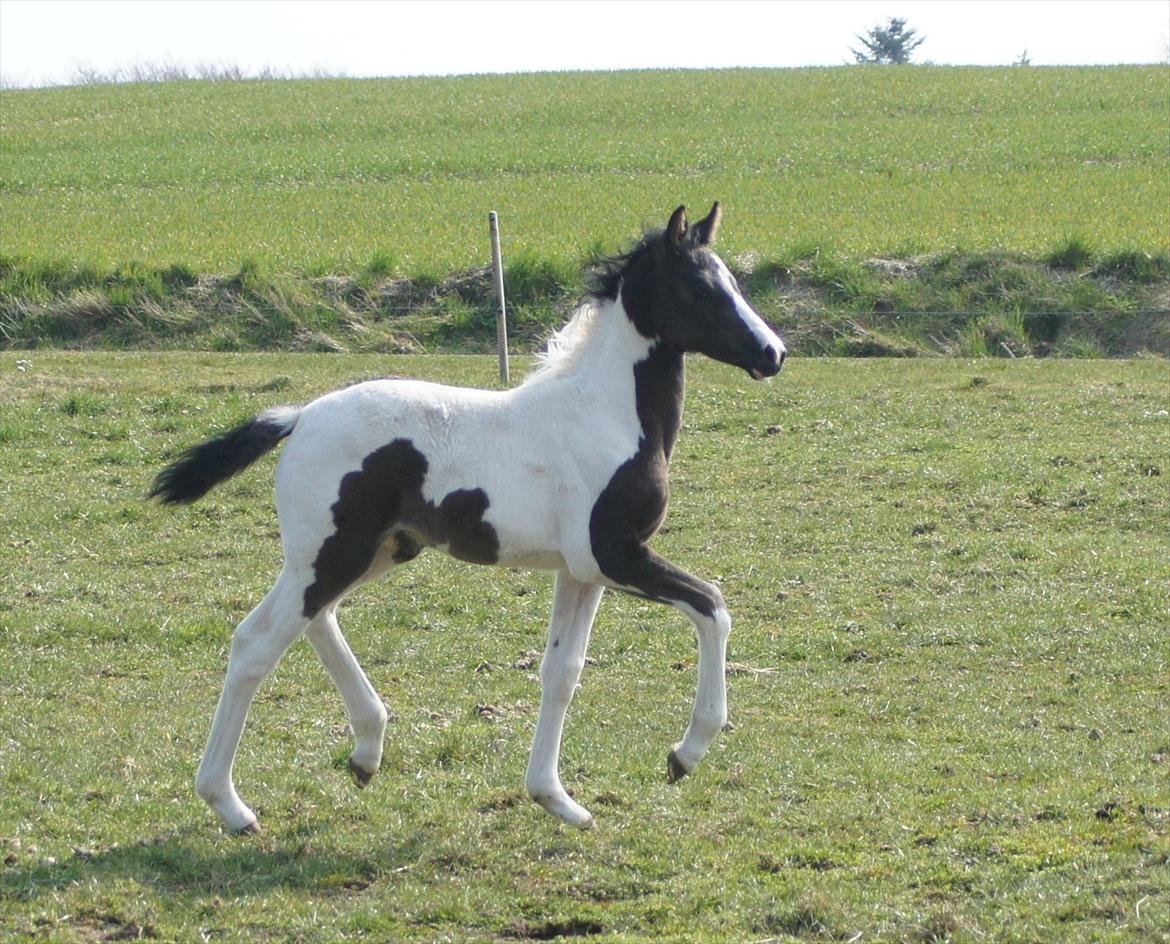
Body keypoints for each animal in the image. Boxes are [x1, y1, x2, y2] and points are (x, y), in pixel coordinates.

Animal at [148, 203, 786, 832]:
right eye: (702, 288)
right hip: (331, 554)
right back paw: (231, 805)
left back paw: (365, 753)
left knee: (314, 621)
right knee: (257, 643)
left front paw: (556, 799)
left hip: (375, 550)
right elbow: (713, 606)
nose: (773, 353)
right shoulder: (616, 554)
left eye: (733, 282)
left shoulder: (580, 572)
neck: (606, 416)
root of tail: (300, 417)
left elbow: (562, 672)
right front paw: (685, 754)